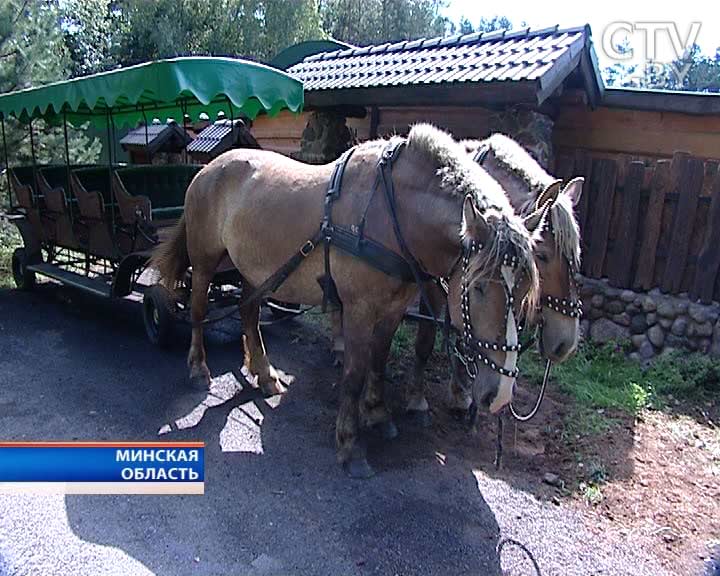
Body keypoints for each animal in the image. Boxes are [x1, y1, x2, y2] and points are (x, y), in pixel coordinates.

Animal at [152, 122, 540, 476]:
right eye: (479, 286)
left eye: (524, 291)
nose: (500, 394)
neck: (392, 212)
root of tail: (207, 169)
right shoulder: (359, 309)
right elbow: (354, 373)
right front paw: (350, 444)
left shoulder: (393, 309)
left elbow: (379, 361)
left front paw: (378, 413)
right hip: (204, 261)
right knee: (199, 310)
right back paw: (198, 368)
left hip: (254, 269)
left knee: (249, 313)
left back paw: (264, 374)